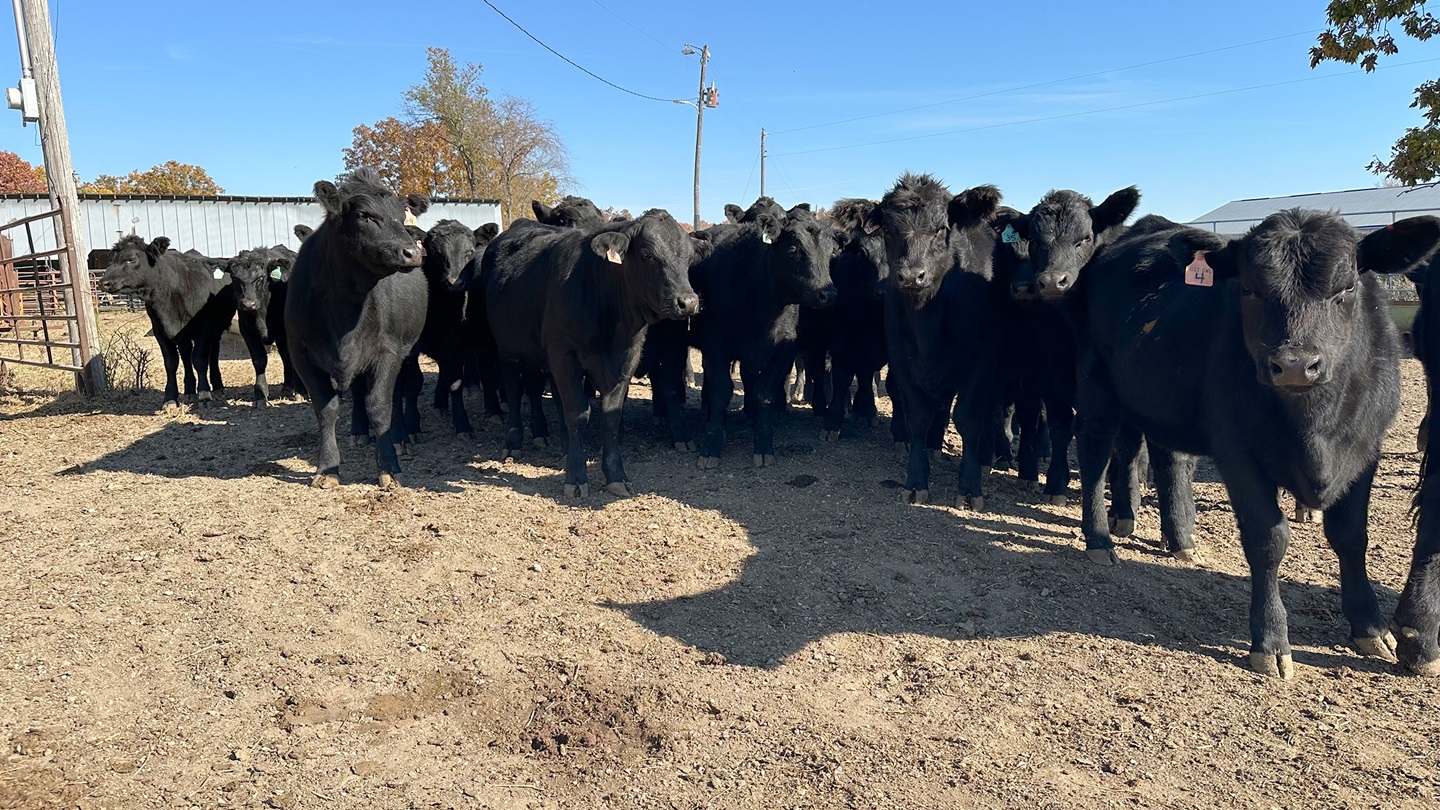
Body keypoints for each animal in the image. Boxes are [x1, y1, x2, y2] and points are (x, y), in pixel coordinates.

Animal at [98, 235, 236, 411]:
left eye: (131, 259)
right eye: (111, 260)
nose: (103, 282)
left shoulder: (205, 328)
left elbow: (200, 359)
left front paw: (204, 394)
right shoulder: (160, 330)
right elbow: (171, 363)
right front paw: (170, 398)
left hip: (217, 328)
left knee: (213, 352)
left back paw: (217, 386)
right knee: (186, 354)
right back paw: (189, 390)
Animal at [284, 167, 430, 489]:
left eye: (400, 217)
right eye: (365, 215)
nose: (412, 253)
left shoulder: (388, 352)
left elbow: (380, 407)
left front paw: (390, 468)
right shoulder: (301, 355)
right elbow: (326, 409)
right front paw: (327, 468)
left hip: (404, 352)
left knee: (394, 394)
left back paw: (399, 436)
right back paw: (359, 432)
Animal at [484, 208, 707, 497]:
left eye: (689, 258)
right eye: (647, 254)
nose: (687, 302)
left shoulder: (626, 358)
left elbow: (610, 417)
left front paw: (615, 476)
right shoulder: (564, 355)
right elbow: (578, 414)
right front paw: (576, 477)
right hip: (507, 347)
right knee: (513, 389)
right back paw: (513, 442)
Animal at [863, 174, 1005, 510]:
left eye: (941, 228)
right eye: (888, 230)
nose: (911, 275)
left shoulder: (981, 362)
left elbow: (968, 418)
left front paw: (970, 487)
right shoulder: (901, 359)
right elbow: (917, 417)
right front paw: (916, 481)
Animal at [1073, 210, 1440, 678]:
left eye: (1346, 289)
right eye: (1249, 288)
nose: (1295, 365)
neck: (1315, 430)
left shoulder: (1364, 451)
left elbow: (1350, 535)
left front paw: (1371, 627)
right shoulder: (1238, 453)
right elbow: (1268, 540)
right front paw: (1270, 641)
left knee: (1168, 458)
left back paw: (1180, 538)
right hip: (1096, 382)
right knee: (1096, 452)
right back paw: (1100, 539)